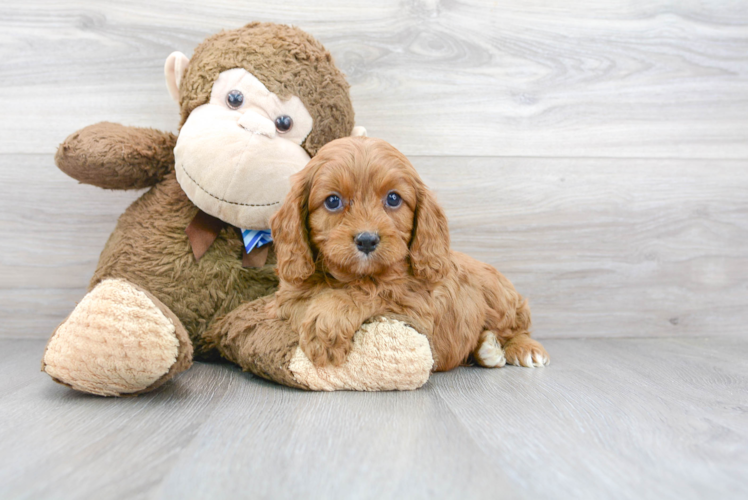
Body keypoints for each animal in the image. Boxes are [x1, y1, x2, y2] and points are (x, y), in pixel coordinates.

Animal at [268, 137, 548, 372]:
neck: (351, 275)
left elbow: (368, 291)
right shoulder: (288, 297)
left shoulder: (414, 305)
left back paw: (523, 349)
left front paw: (327, 322)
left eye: (393, 199)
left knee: (517, 326)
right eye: (333, 201)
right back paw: (487, 349)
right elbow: (303, 302)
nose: (367, 240)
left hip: (500, 295)